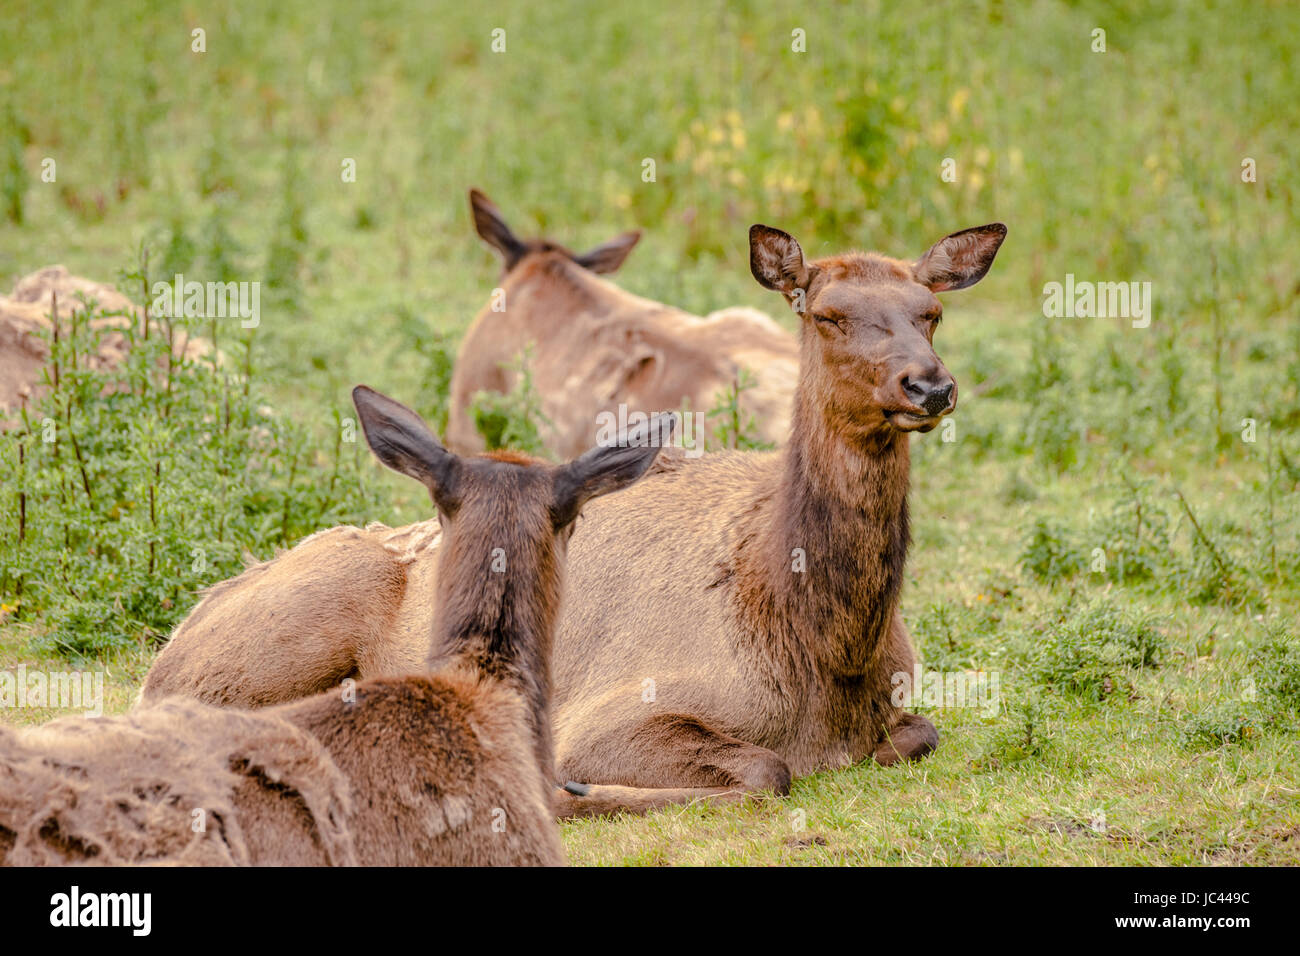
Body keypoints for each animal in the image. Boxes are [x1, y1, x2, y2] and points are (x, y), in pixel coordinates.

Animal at [142, 221, 1003, 816]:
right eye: (826, 313)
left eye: (930, 311)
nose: (929, 385)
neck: (823, 654)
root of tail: (182, 627)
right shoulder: (609, 714)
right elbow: (768, 768)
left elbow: (919, 735)